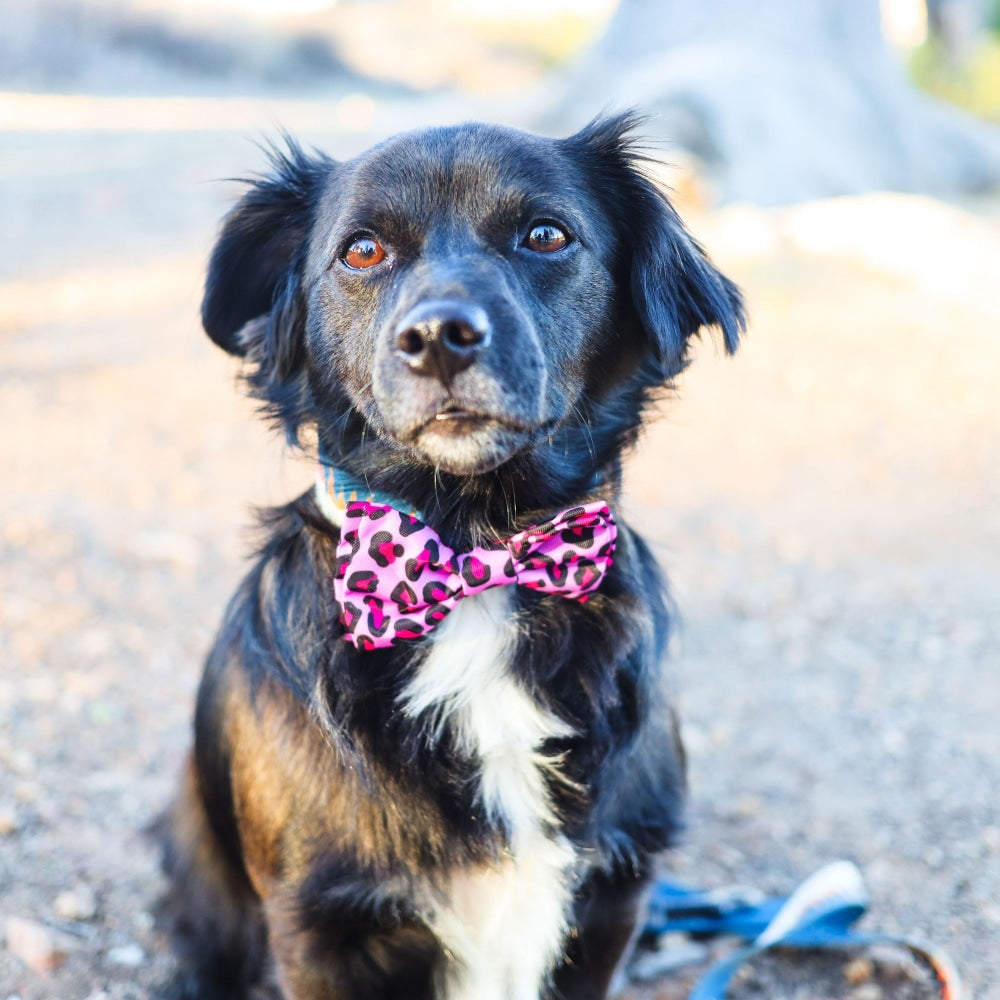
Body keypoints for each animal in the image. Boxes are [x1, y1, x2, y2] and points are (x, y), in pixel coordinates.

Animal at [156, 111, 744, 1000]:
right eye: (362, 250)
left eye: (546, 235)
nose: (438, 337)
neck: (474, 553)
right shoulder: (315, 929)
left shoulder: (611, 902)